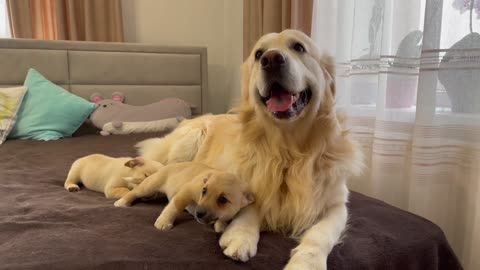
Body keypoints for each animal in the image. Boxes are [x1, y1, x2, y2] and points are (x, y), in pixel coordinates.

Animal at [114, 161, 255, 233]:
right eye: (204, 191)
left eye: (223, 200)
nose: (198, 214)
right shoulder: (186, 191)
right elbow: (174, 207)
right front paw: (164, 222)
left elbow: (224, 218)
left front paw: (221, 225)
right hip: (149, 186)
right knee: (134, 192)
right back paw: (122, 202)